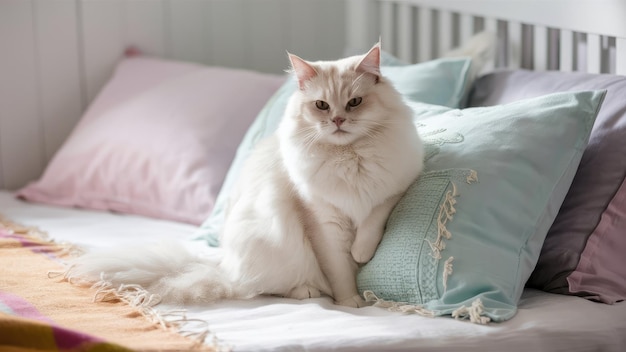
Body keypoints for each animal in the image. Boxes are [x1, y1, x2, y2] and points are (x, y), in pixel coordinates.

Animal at [67, 43, 424, 308]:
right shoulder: (322, 221)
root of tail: (222, 262)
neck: (348, 157)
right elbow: (339, 271)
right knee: (257, 288)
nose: (337, 121)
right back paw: (306, 291)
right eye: (322, 105)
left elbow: (372, 221)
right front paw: (351, 302)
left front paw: (362, 254)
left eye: (355, 102)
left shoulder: (395, 188)